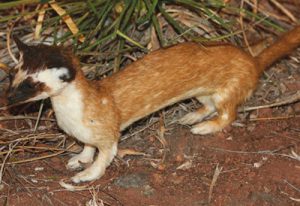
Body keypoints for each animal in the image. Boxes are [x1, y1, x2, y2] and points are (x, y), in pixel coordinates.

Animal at [6, 25, 300, 182]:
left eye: (31, 84)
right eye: (12, 74)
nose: (8, 99)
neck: (71, 117)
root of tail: (252, 62)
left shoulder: (107, 131)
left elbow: (105, 155)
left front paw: (85, 175)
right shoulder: (84, 133)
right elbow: (87, 147)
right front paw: (78, 159)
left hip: (227, 90)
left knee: (227, 114)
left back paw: (203, 127)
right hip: (203, 93)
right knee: (208, 106)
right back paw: (191, 117)